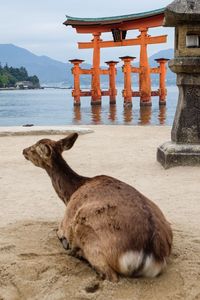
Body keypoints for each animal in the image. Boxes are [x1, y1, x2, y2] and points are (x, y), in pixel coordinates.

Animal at [23, 132, 172, 282]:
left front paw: (65, 242)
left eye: (34, 148)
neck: (69, 194)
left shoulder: (64, 223)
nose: (23, 150)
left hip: (86, 229)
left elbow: (57, 231)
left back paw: (76, 253)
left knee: (110, 275)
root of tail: (148, 252)